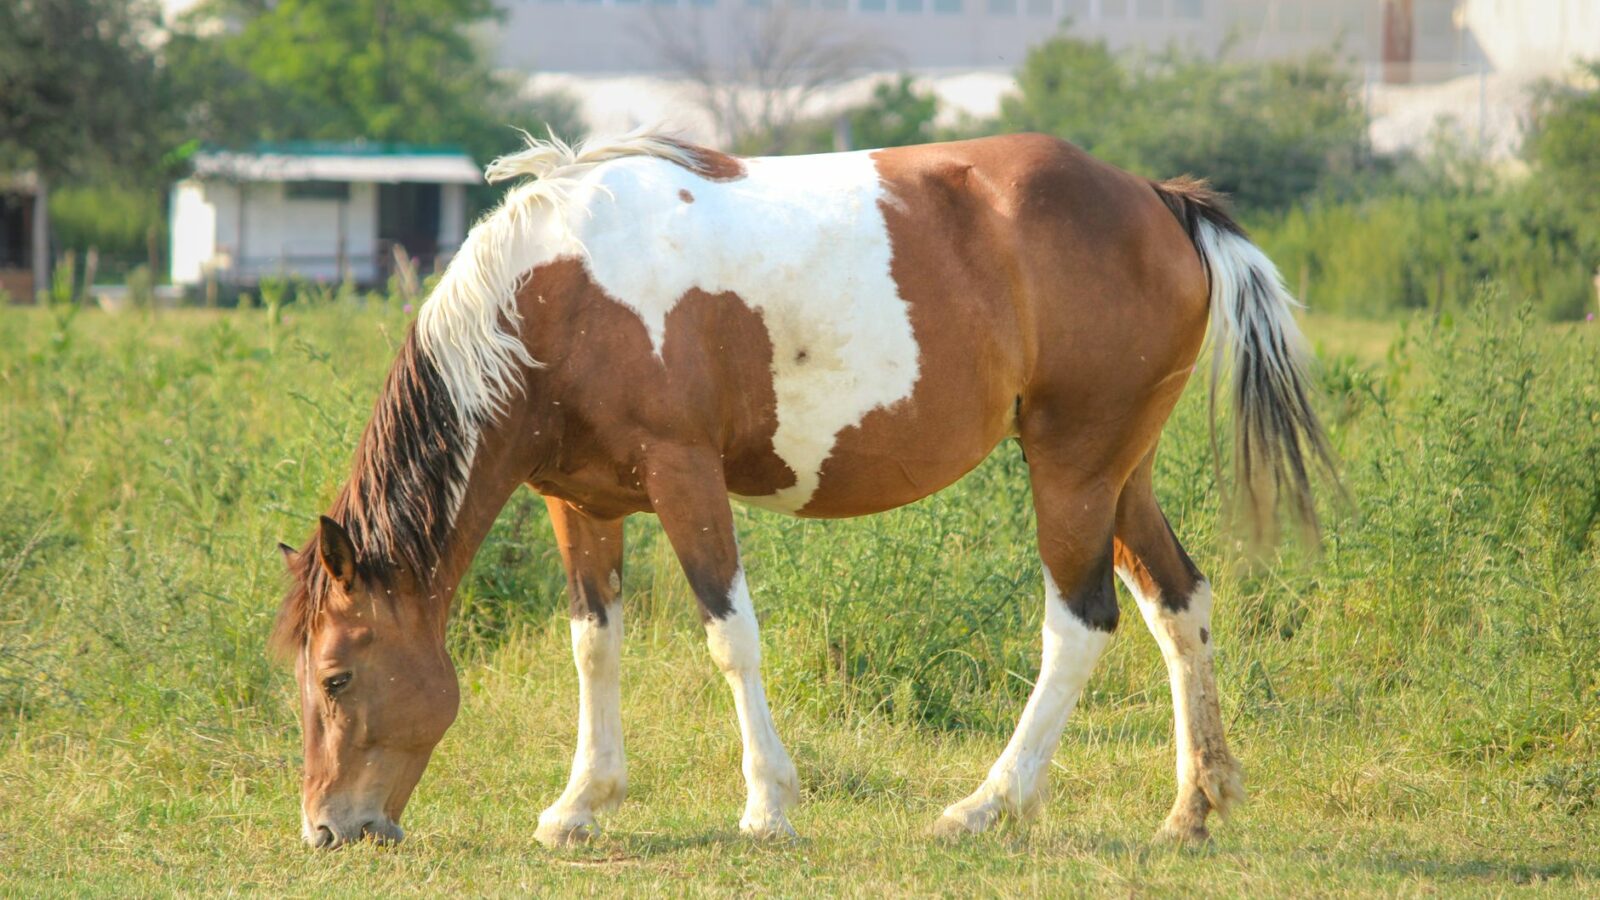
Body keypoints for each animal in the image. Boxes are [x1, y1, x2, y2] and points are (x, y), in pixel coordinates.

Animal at [271, 129, 1334, 850]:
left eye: (337, 677)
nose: (327, 828)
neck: (558, 300)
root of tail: (1159, 199)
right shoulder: (583, 503)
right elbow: (592, 645)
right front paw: (582, 803)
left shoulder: (684, 475)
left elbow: (729, 638)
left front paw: (767, 804)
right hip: (1121, 472)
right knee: (1178, 603)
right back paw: (1195, 805)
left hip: (1071, 466)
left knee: (1080, 625)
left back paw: (988, 804)